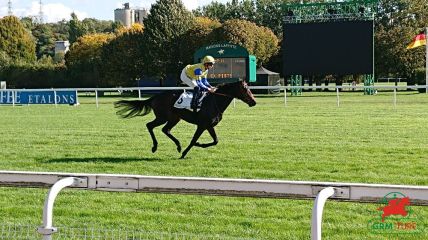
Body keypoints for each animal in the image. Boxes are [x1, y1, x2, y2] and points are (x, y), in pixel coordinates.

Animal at [113, 80, 256, 158]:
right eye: (245, 89)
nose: (254, 102)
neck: (215, 101)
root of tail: (155, 97)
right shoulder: (202, 125)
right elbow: (194, 140)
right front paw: (186, 153)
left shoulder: (209, 125)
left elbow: (215, 141)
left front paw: (197, 145)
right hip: (162, 117)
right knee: (150, 125)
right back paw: (155, 147)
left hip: (174, 118)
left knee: (165, 130)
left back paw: (178, 145)